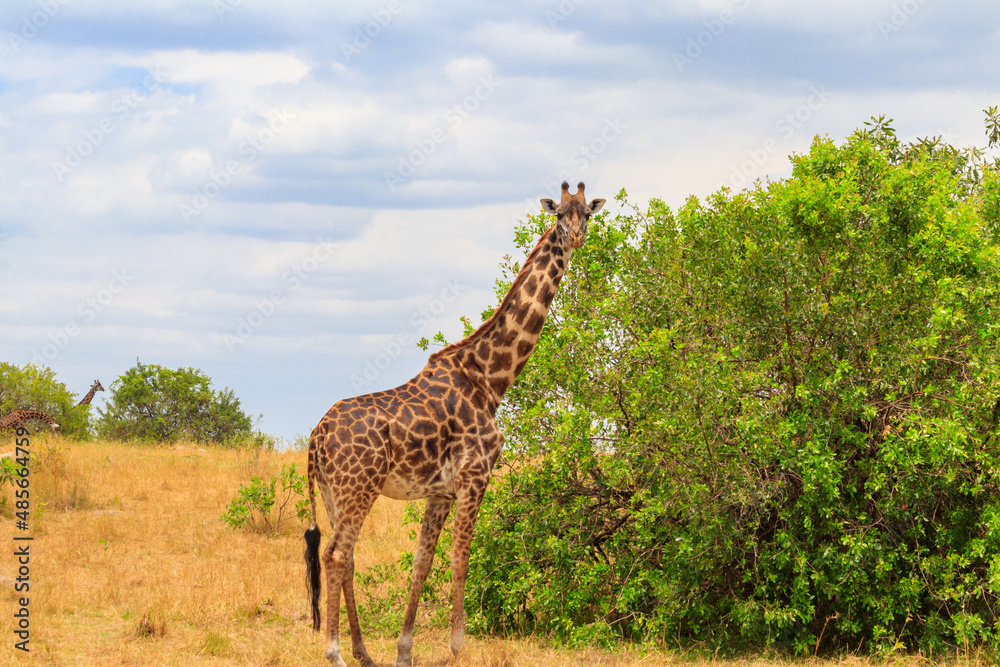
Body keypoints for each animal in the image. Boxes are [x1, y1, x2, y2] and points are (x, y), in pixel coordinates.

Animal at [304, 182, 605, 667]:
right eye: (559, 214)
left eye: (587, 214)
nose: (575, 237)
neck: (490, 379)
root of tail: (315, 438)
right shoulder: (475, 476)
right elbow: (462, 558)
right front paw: (458, 645)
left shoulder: (440, 491)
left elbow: (421, 563)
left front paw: (404, 651)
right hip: (357, 488)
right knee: (335, 554)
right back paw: (335, 651)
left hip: (334, 494)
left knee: (345, 558)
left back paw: (364, 652)